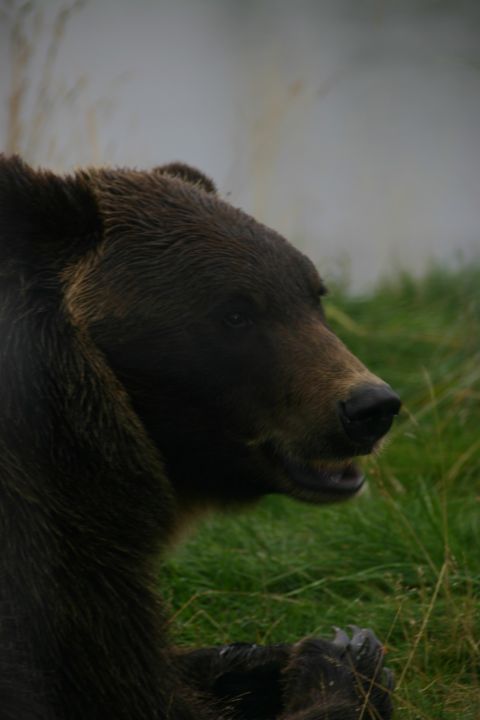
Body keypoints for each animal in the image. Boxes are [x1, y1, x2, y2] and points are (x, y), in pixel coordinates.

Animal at [0, 155, 400, 720]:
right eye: (235, 313)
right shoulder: (53, 551)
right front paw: (342, 661)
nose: (369, 407)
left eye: (314, 295)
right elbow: (131, 690)